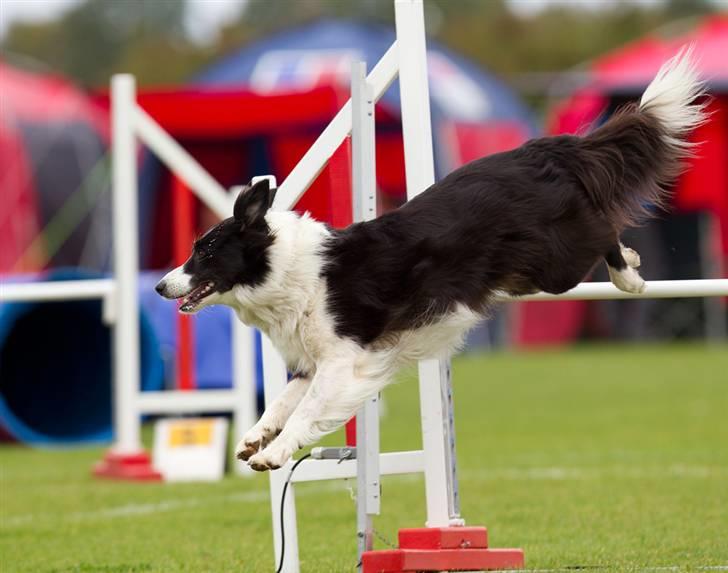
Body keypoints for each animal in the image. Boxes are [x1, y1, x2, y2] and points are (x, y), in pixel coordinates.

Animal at [155, 50, 704, 470]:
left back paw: (630, 274)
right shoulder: (313, 361)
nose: (161, 286)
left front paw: (276, 452)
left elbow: (307, 410)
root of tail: (541, 150)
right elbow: (284, 400)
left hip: (557, 264)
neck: (286, 271)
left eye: (203, 251)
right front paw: (255, 435)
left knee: (605, 231)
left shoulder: (345, 360)